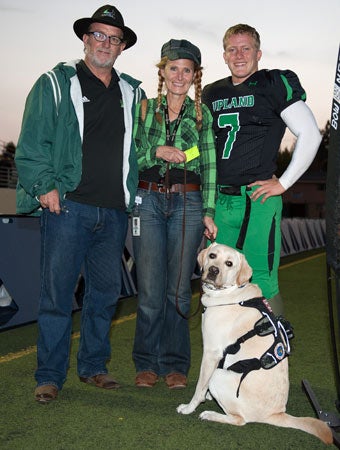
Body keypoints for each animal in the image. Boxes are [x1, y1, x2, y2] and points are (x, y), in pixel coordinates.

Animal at [178, 244, 332, 444]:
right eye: (212, 256)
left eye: (229, 263)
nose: (213, 270)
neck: (232, 292)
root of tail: (277, 413)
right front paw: (207, 396)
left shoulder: (211, 353)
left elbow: (199, 387)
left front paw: (189, 407)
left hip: (219, 375)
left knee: (239, 419)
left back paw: (210, 414)